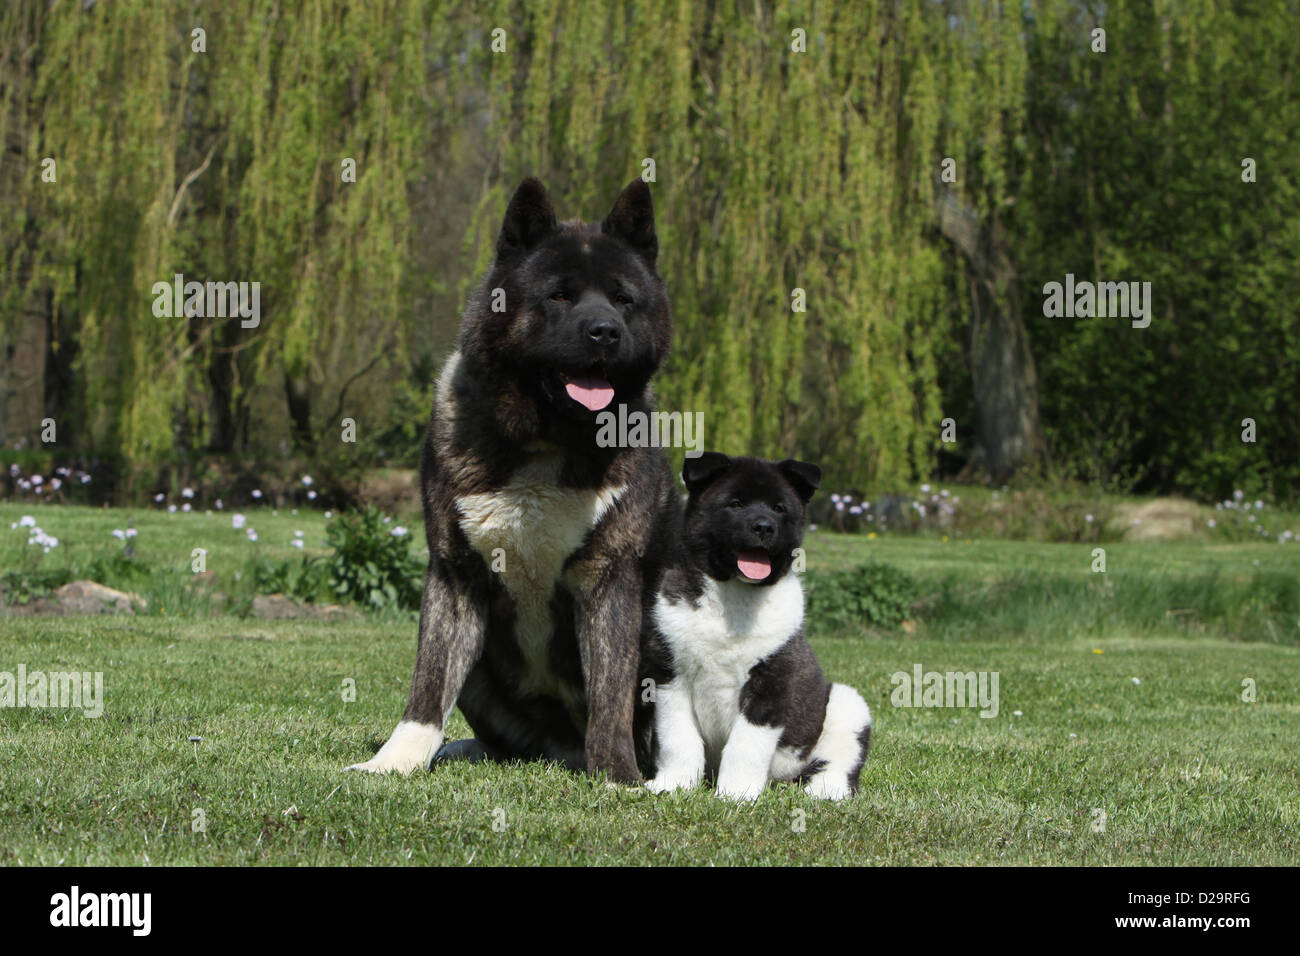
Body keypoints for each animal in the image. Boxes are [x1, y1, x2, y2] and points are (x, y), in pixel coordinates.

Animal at [351, 175, 681, 780]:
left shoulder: (609, 579)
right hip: (482, 677)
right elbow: (428, 685)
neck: (548, 440)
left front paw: (617, 777)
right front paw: (396, 761)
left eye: (624, 300)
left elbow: (611, 695)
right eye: (559, 296)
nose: (605, 331)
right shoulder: (456, 576)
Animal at [639, 452, 873, 806]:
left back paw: (824, 791)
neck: (734, 597)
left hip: (846, 704)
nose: (764, 526)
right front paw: (673, 785)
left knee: (840, 761)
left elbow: (745, 746)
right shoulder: (669, 675)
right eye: (735, 503)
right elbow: (677, 739)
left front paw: (736, 795)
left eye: (779, 508)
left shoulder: (770, 685)